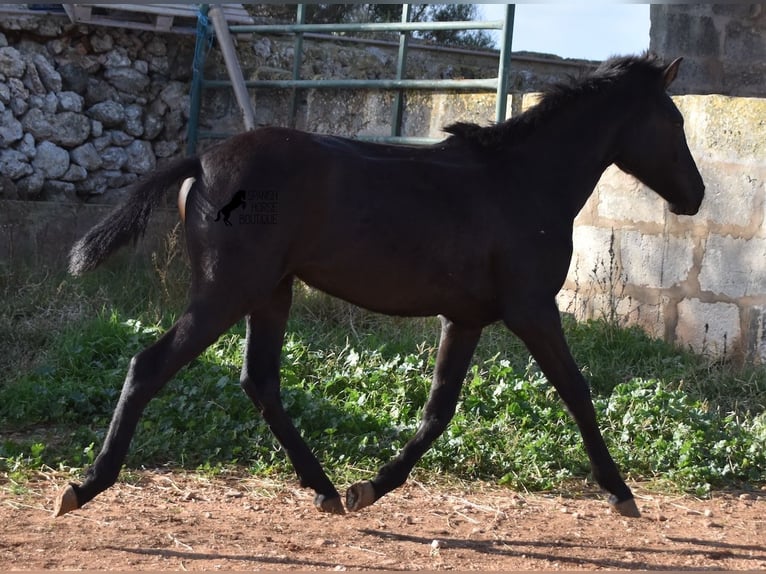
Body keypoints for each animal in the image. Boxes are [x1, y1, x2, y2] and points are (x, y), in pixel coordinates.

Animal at [58, 55, 708, 520]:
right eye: (674, 122)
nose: (697, 195)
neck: (522, 181)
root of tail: (204, 161)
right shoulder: (532, 309)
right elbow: (576, 391)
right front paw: (622, 493)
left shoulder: (465, 318)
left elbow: (439, 408)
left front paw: (371, 486)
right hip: (226, 291)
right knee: (149, 366)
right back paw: (86, 487)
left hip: (269, 293)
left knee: (259, 381)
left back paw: (325, 489)